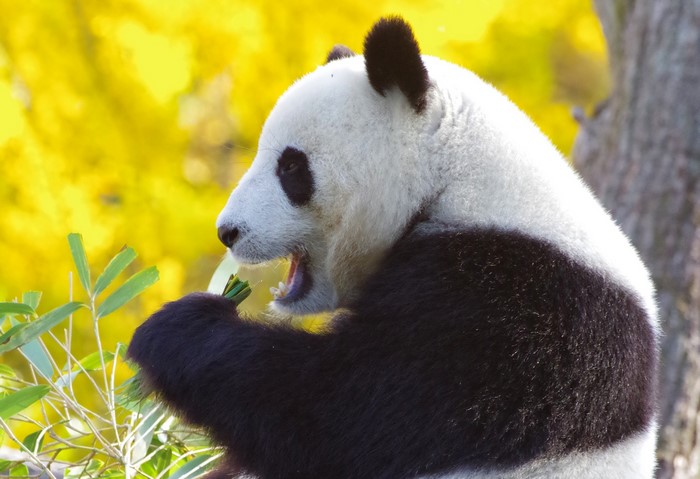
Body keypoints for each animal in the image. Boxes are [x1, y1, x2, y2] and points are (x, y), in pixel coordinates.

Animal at [128, 17, 658, 479]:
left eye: (291, 167)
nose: (228, 232)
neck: (457, 178)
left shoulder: (511, 315)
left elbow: (334, 415)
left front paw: (173, 329)